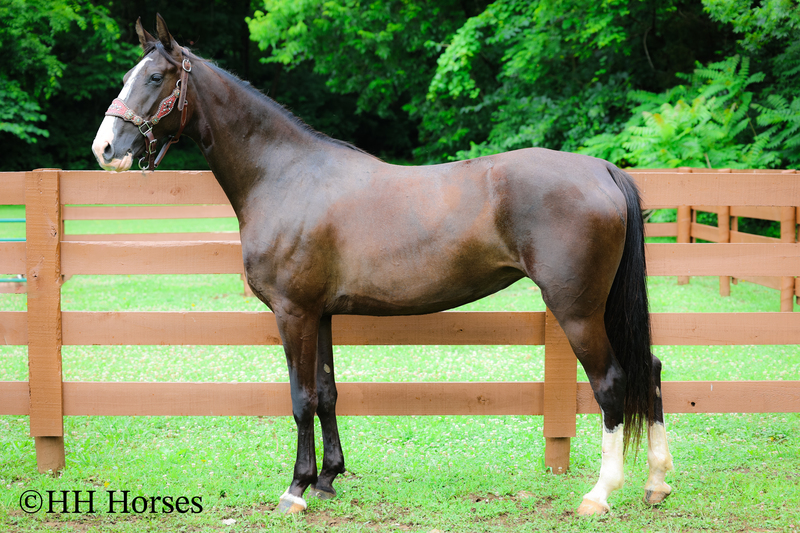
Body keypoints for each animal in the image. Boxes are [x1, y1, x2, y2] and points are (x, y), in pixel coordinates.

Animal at [92, 15, 673, 516]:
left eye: (157, 77)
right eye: (127, 76)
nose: (105, 149)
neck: (284, 176)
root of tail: (601, 170)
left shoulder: (293, 313)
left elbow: (301, 398)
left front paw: (296, 489)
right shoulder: (321, 314)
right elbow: (327, 393)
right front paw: (328, 478)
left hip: (577, 310)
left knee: (612, 383)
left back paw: (600, 493)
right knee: (650, 370)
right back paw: (656, 483)